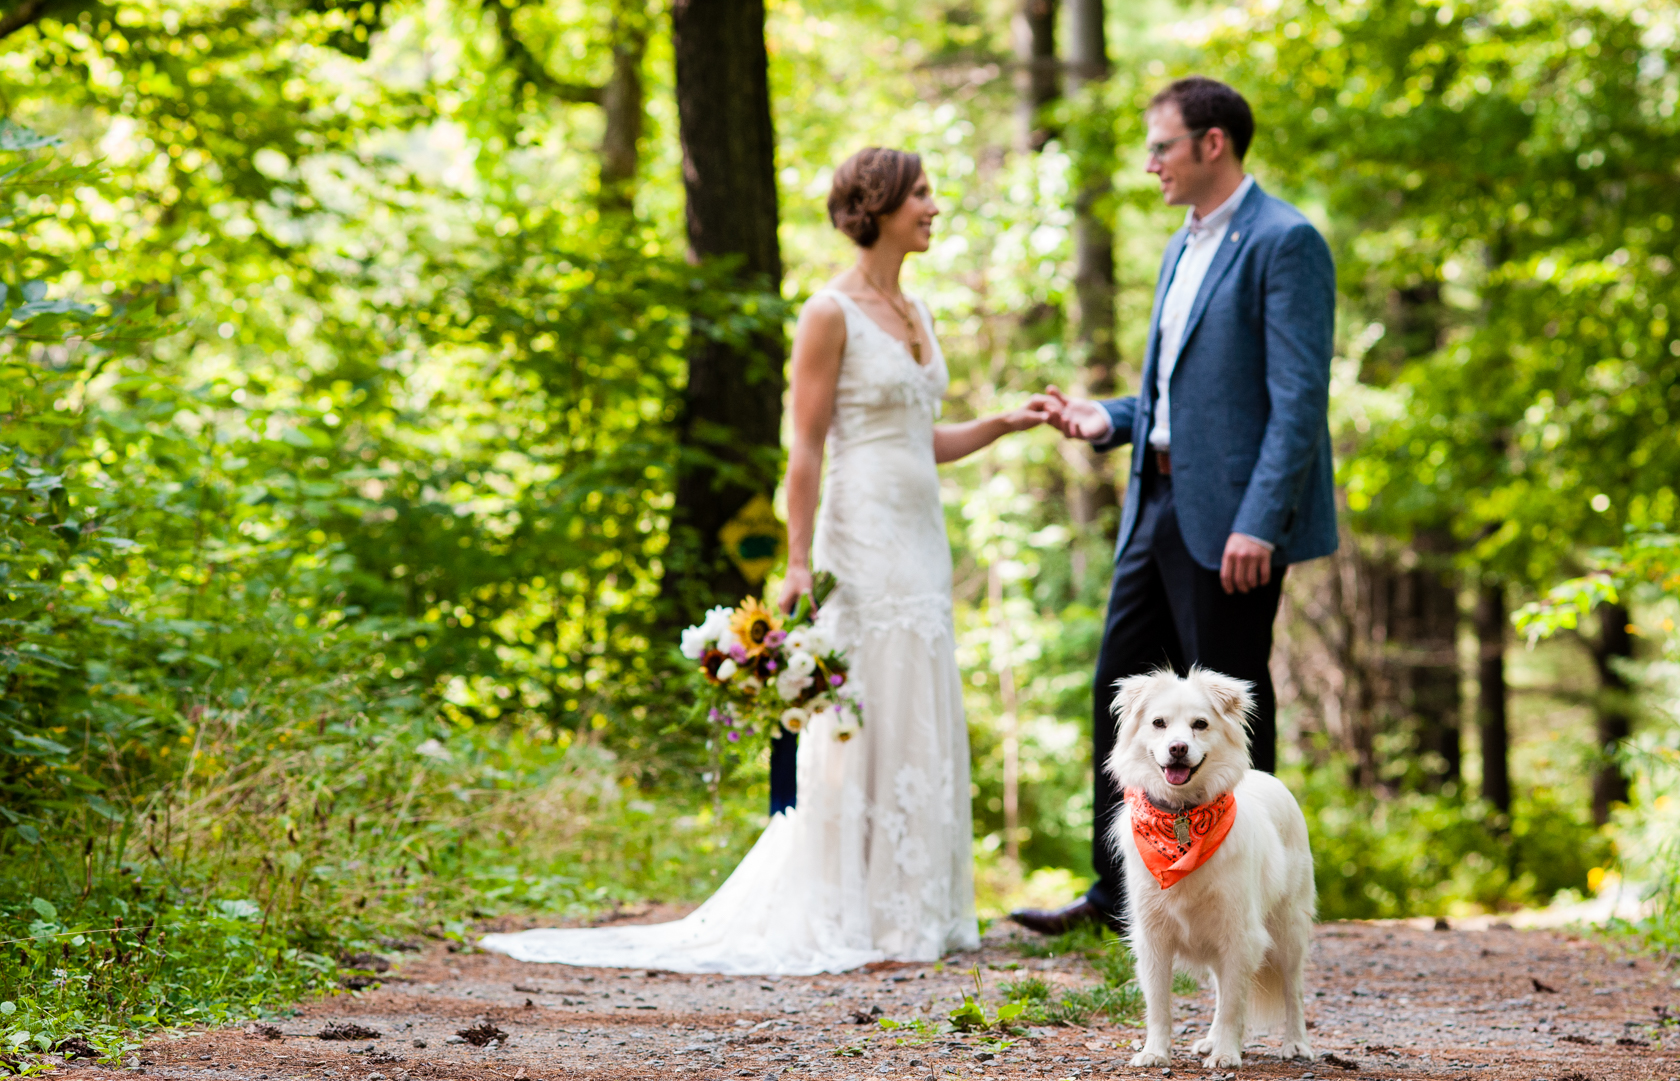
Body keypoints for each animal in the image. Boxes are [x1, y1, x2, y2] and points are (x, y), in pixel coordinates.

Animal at [1108, 662, 1317, 1069]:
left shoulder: (1241, 933)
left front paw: (1226, 1054)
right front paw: (1155, 1052)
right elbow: (1159, 1003)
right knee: (1222, 987)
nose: (1177, 748)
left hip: (1289, 930)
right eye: (1158, 723)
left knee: (1293, 989)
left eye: (1200, 724)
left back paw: (1295, 1044)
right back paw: (1209, 1040)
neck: (1182, 818)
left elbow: (1235, 1004)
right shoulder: (1153, 937)